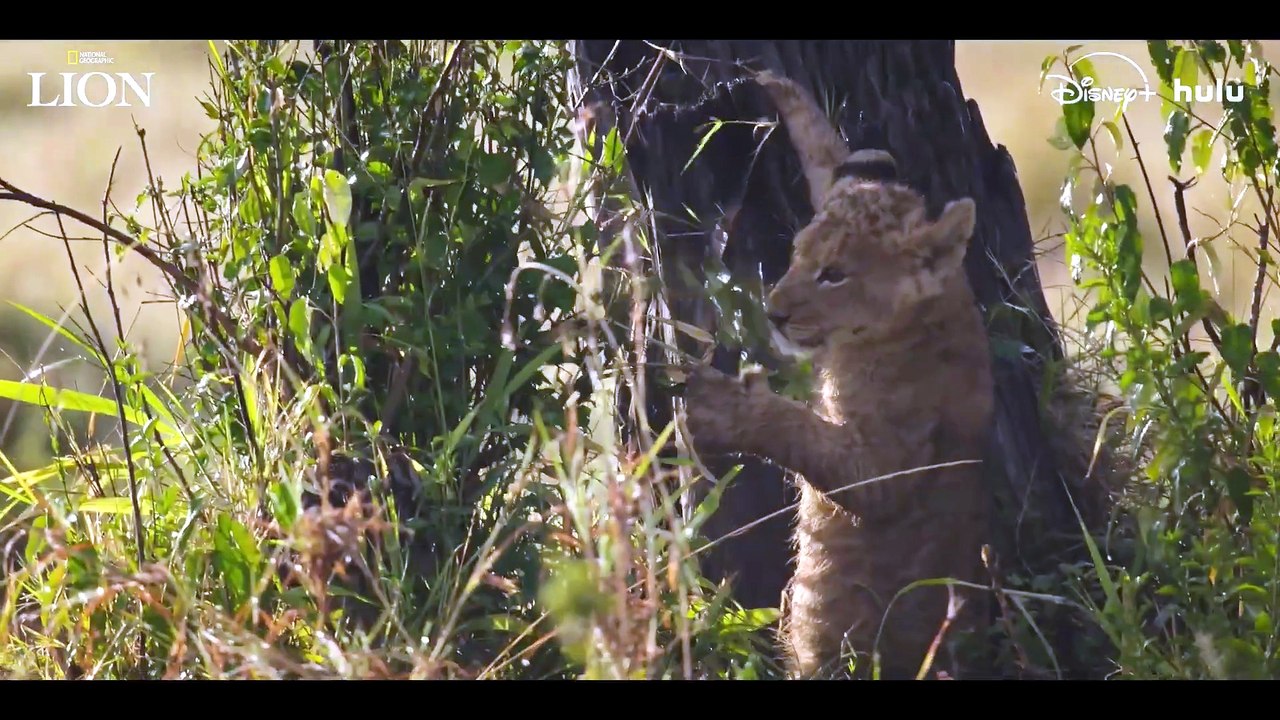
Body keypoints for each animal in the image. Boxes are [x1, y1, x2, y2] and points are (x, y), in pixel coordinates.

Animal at [683, 71, 995, 679]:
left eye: (834, 275)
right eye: (798, 255)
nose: (775, 312)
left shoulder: (889, 467)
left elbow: (802, 433)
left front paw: (719, 409)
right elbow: (829, 160)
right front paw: (781, 92)